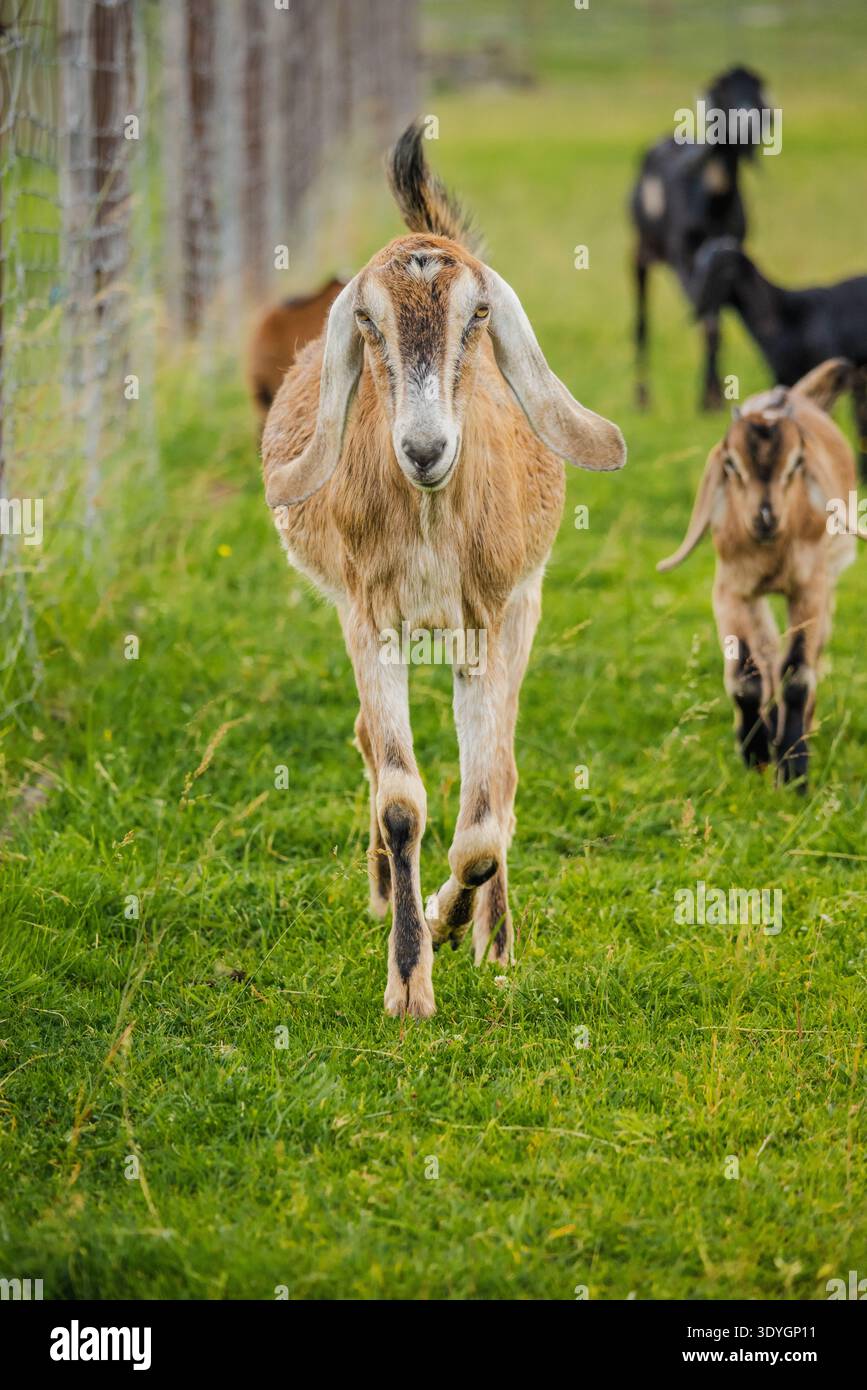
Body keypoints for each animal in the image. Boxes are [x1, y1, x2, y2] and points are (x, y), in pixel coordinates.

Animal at [261, 123, 626, 1018]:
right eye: (366, 318)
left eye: (478, 315)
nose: (425, 450)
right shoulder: (371, 618)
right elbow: (400, 802)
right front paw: (408, 979)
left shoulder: (494, 620)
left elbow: (485, 818)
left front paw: (456, 924)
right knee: (372, 746)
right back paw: (384, 895)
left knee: (498, 775)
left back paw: (492, 937)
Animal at [630, 65, 769, 410]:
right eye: (724, 92)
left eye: (755, 91)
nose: (747, 125)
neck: (712, 199)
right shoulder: (684, 258)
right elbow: (708, 320)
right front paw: (709, 399)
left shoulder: (729, 253)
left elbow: (715, 322)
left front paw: (713, 395)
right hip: (640, 253)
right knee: (642, 323)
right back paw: (642, 397)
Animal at [657, 358, 863, 789]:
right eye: (731, 464)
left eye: (797, 464)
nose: (765, 518)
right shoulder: (732, 590)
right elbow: (747, 675)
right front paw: (756, 753)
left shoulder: (809, 589)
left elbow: (797, 673)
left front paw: (794, 767)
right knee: (767, 654)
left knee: (809, 656)